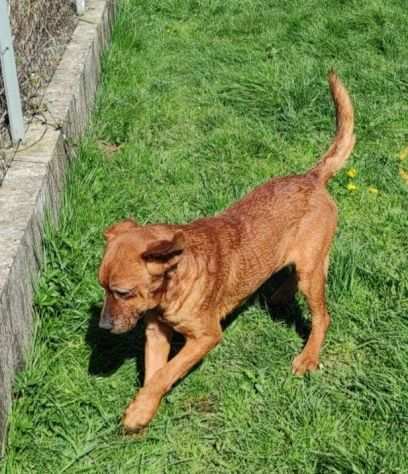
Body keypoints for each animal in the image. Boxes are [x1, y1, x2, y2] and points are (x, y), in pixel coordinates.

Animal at [98, 72, 354, 432]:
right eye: (103, 288)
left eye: (123, 292)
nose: (104, 328)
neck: (174, 284)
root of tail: (312, 177)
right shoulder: (156, 332)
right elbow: (154, 374)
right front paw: (144, 409)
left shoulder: (205, 337)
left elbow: (165, 374)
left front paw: (139, 410)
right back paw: (279, 295)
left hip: (311, 273)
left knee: (322, 316)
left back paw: (308, 357)